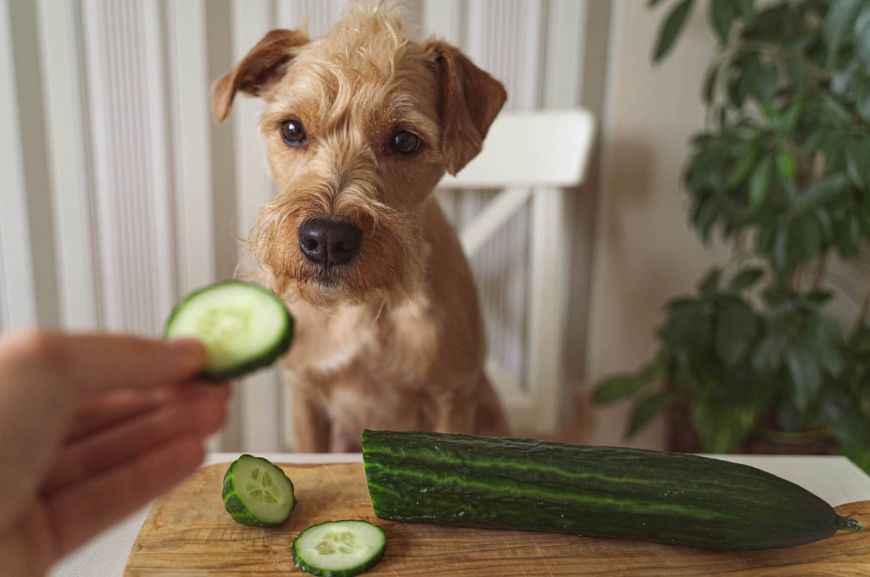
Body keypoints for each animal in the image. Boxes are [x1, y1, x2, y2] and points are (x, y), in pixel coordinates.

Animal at [213, 2, 510, 452]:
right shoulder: (305, 396)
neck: (362, 308)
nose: (327, 240)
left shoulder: (452, 398)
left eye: (405, 140)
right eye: (292, 129)